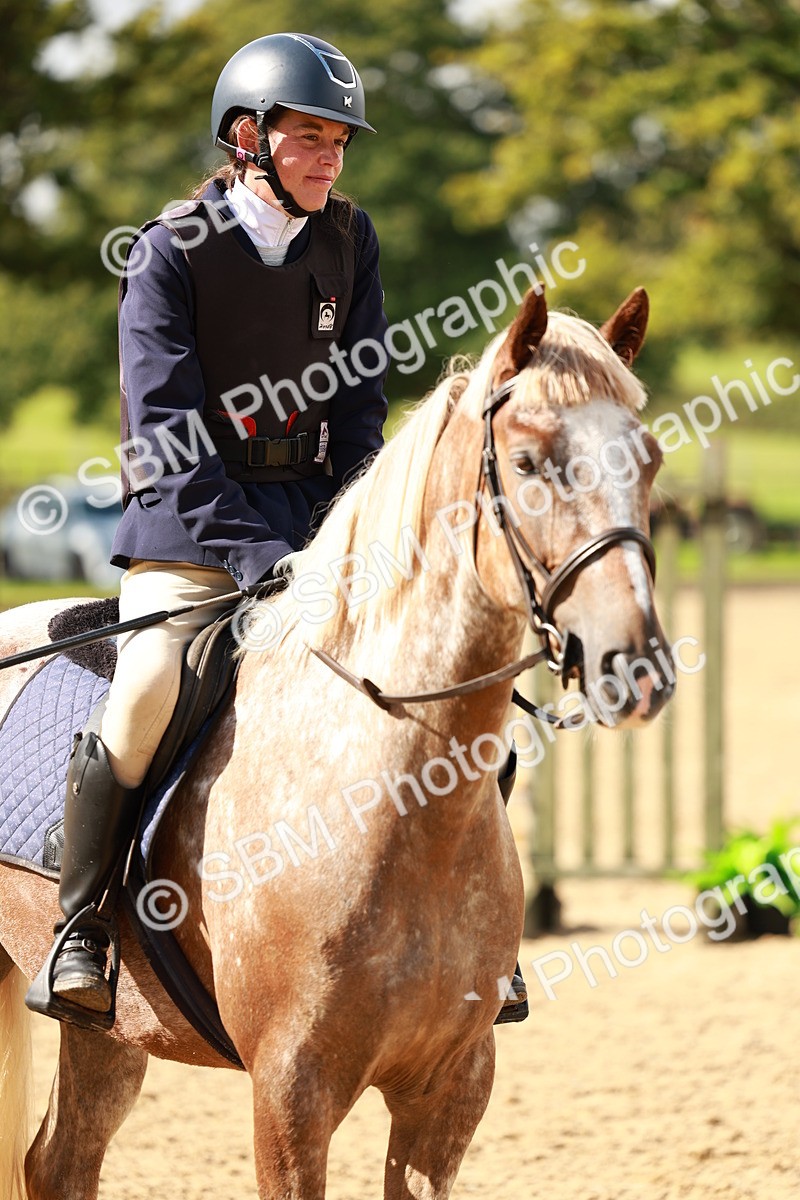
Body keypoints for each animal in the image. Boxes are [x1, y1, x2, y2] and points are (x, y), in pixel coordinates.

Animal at [0, 285, 674, 1200]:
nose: (632, 663)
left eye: (650, 459)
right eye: (530, 463)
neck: (396, 800)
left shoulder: (450, 1089)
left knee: (59, 1162)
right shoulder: (291, 1090)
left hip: (113, 1033)